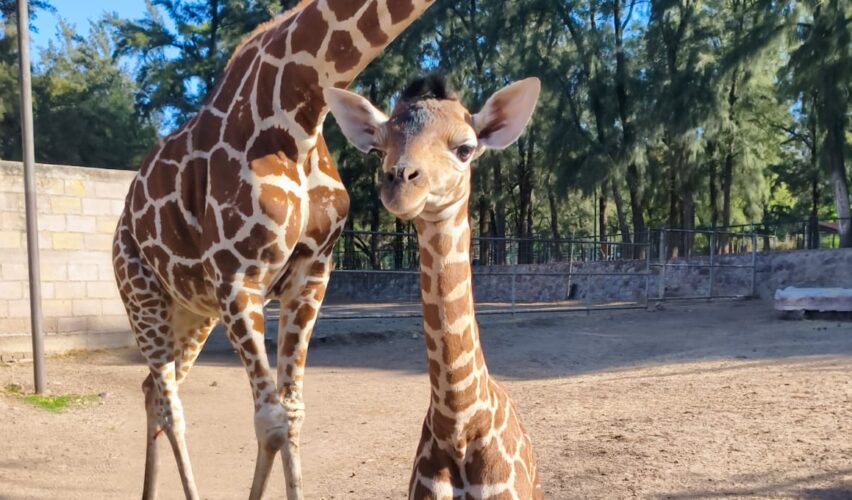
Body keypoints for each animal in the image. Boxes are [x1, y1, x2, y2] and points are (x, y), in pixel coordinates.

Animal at [111, 2, 434, 499]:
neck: (302, 106)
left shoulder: (312, 274)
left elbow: (293, 412)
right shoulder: (237, 275)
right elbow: (271, 420)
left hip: (192, 313)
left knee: (151, 390)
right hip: (141, 297)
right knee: (170, 404)